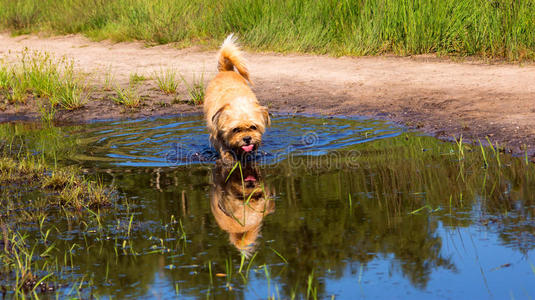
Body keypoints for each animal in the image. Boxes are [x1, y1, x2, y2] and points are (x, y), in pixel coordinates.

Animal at [205, 34, 272, 162]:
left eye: (253, 127)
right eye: (235, 129)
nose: (247, 138)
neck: (237, 100)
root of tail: (226, 70)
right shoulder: (216, 134)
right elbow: (224, 149)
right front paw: (229, 159)